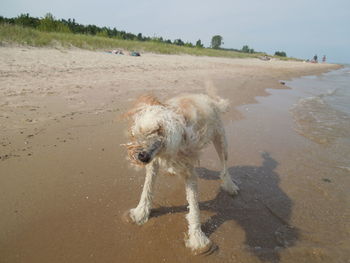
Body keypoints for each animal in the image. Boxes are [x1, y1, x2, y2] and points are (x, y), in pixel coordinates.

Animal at [121, 93, 239, 256]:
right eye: (137, 133)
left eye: (159, 130)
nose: (140, 156)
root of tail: (208, 98)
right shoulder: (154, 162)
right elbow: (147, 189)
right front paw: (140, 213)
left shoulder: (189, 172)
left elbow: (194, 208)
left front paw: (197, 239)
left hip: (221, 140)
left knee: (224, 166)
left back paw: (230, 185)